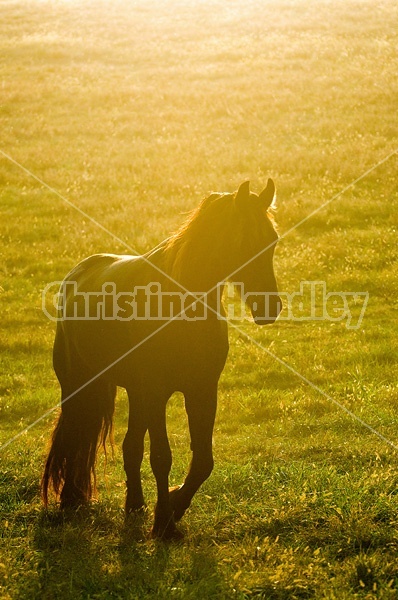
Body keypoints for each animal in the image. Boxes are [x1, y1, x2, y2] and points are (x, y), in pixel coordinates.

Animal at [42, 178, 282, 540]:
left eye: (272, 241)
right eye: (244, 241)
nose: (269, 308)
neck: (182, 306)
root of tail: (80, 271)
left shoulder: (201, 391)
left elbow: (203, 461)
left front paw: (172, 505)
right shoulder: (157, 392)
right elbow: (162, 457)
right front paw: (164, 524)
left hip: (135, 394)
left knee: (129, 448)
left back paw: (134, 505)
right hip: (80, 385)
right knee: (75, 436)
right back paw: (72, 501)